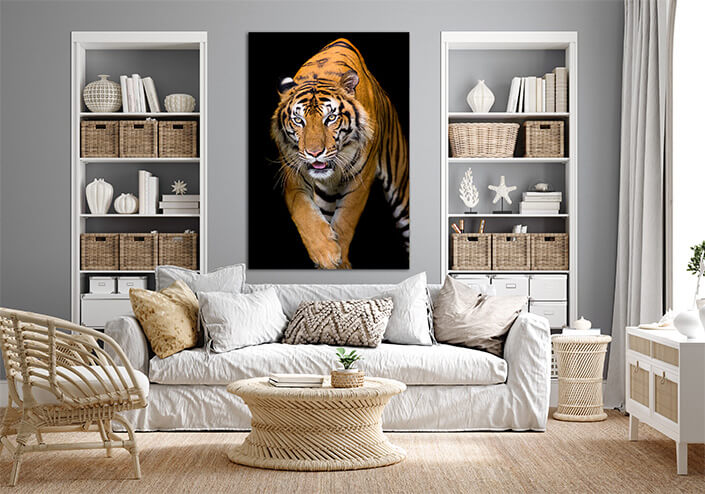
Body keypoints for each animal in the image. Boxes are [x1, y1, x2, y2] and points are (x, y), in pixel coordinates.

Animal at [270, 38, 409, 269]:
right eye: (298, 120)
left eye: (331, 118)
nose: (314, 153)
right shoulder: (292, 175)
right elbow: (303, 212)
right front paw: (325, 252)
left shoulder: (361, 177)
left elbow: (345, 219)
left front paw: (338, 259)